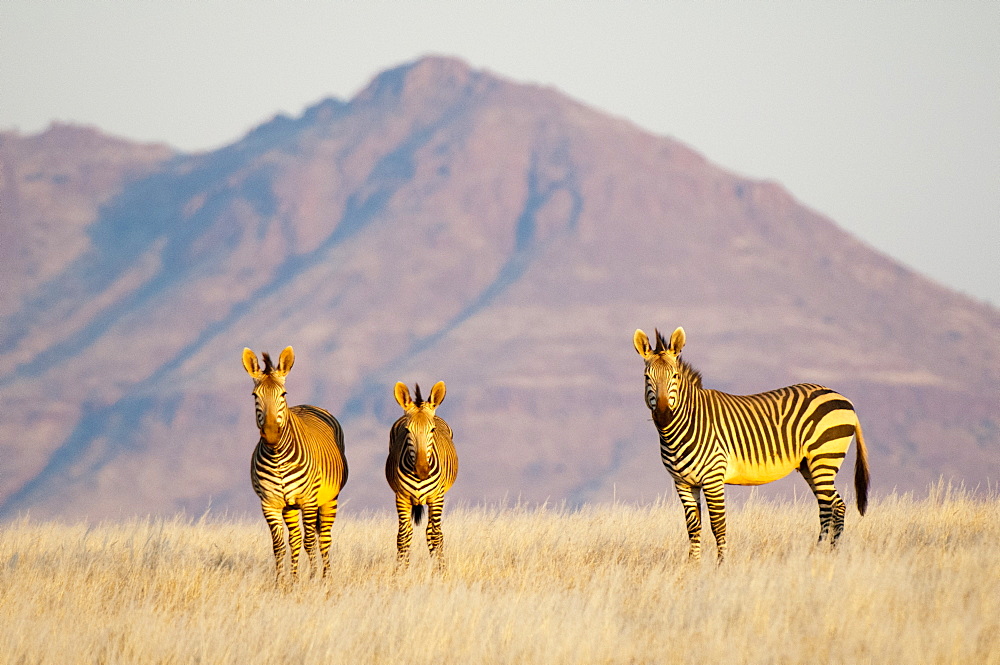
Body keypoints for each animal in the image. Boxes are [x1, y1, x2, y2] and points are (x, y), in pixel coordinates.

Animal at [243, 344, 350, 580]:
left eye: (283, 394)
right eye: (255, 395)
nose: (271, 434)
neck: (277, 457)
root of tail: (307, 405)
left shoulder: (308, 500)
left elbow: (310, 542)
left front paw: (312, 578)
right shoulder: (270, 504)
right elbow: (279, 546)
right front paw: (282, 582)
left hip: (329, 498)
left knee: (324, 539)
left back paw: (326, 577)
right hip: (289, 506)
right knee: (294, 539)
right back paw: (294, 577)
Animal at [386, 382, 460, 564]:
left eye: (432, 430)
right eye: (407, 430)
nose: (421, 470)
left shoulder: (437, 497)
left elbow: (436, 536)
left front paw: (440, 569)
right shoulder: (401, 498)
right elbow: (403, 537)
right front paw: (400, 569)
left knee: (432, 532)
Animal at [636, 326, 872, 560]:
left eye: (675, 376)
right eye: (647, 377)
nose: (663, 415)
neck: (684, 426)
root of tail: (842, 397)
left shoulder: (713, 478)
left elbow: (718, 525)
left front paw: (721, 565)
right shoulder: (683, 483)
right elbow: (693, 528)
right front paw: (692, 565)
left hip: (824, 458)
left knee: (831, 507)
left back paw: (823, 554)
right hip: (809, 465)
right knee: (834, 506)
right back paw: (826, 553)